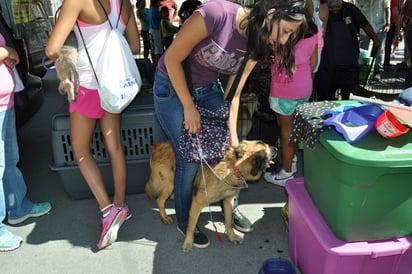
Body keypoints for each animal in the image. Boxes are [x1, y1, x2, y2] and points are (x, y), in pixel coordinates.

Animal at [145, 140, 276, 252]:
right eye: (264, 146)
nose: (276, 148)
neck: (233, 166)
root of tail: (156, 146)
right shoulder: (197, 202)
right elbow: (191, 226)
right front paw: (188, 242)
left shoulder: (228, 201)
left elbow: (228, 222)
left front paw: (232, 236)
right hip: (170, 184)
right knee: (159, 200)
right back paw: (164, 217)